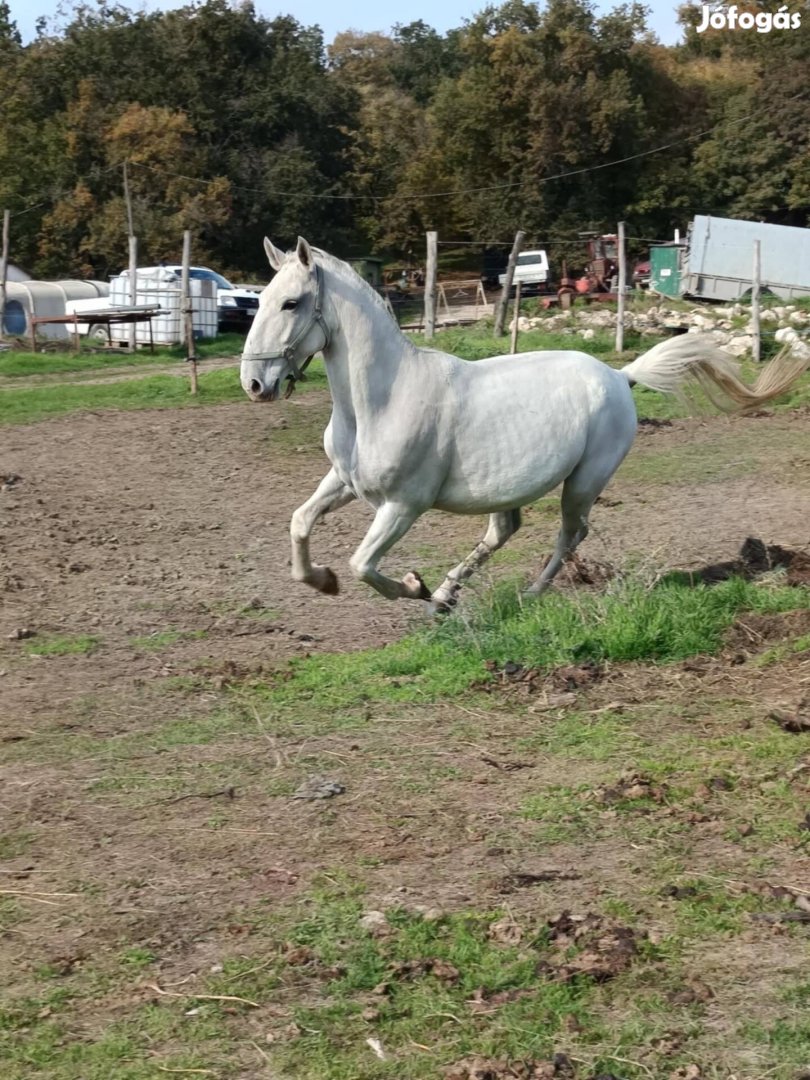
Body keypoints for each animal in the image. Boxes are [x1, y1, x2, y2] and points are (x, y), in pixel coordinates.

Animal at [239, 237, 807, 613]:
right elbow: (299, 523)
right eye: (260, 300)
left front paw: (412, 586)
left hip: (583, 483)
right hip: (507, 487)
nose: (255, 383)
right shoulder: (344, 481)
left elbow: (364, 564)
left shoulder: (403, 505)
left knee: (570, 533)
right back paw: (447, 594)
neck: (380, 400)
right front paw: (324, 580)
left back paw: (523, 593)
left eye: (291, 303)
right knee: (504, 531)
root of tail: (619, 376)